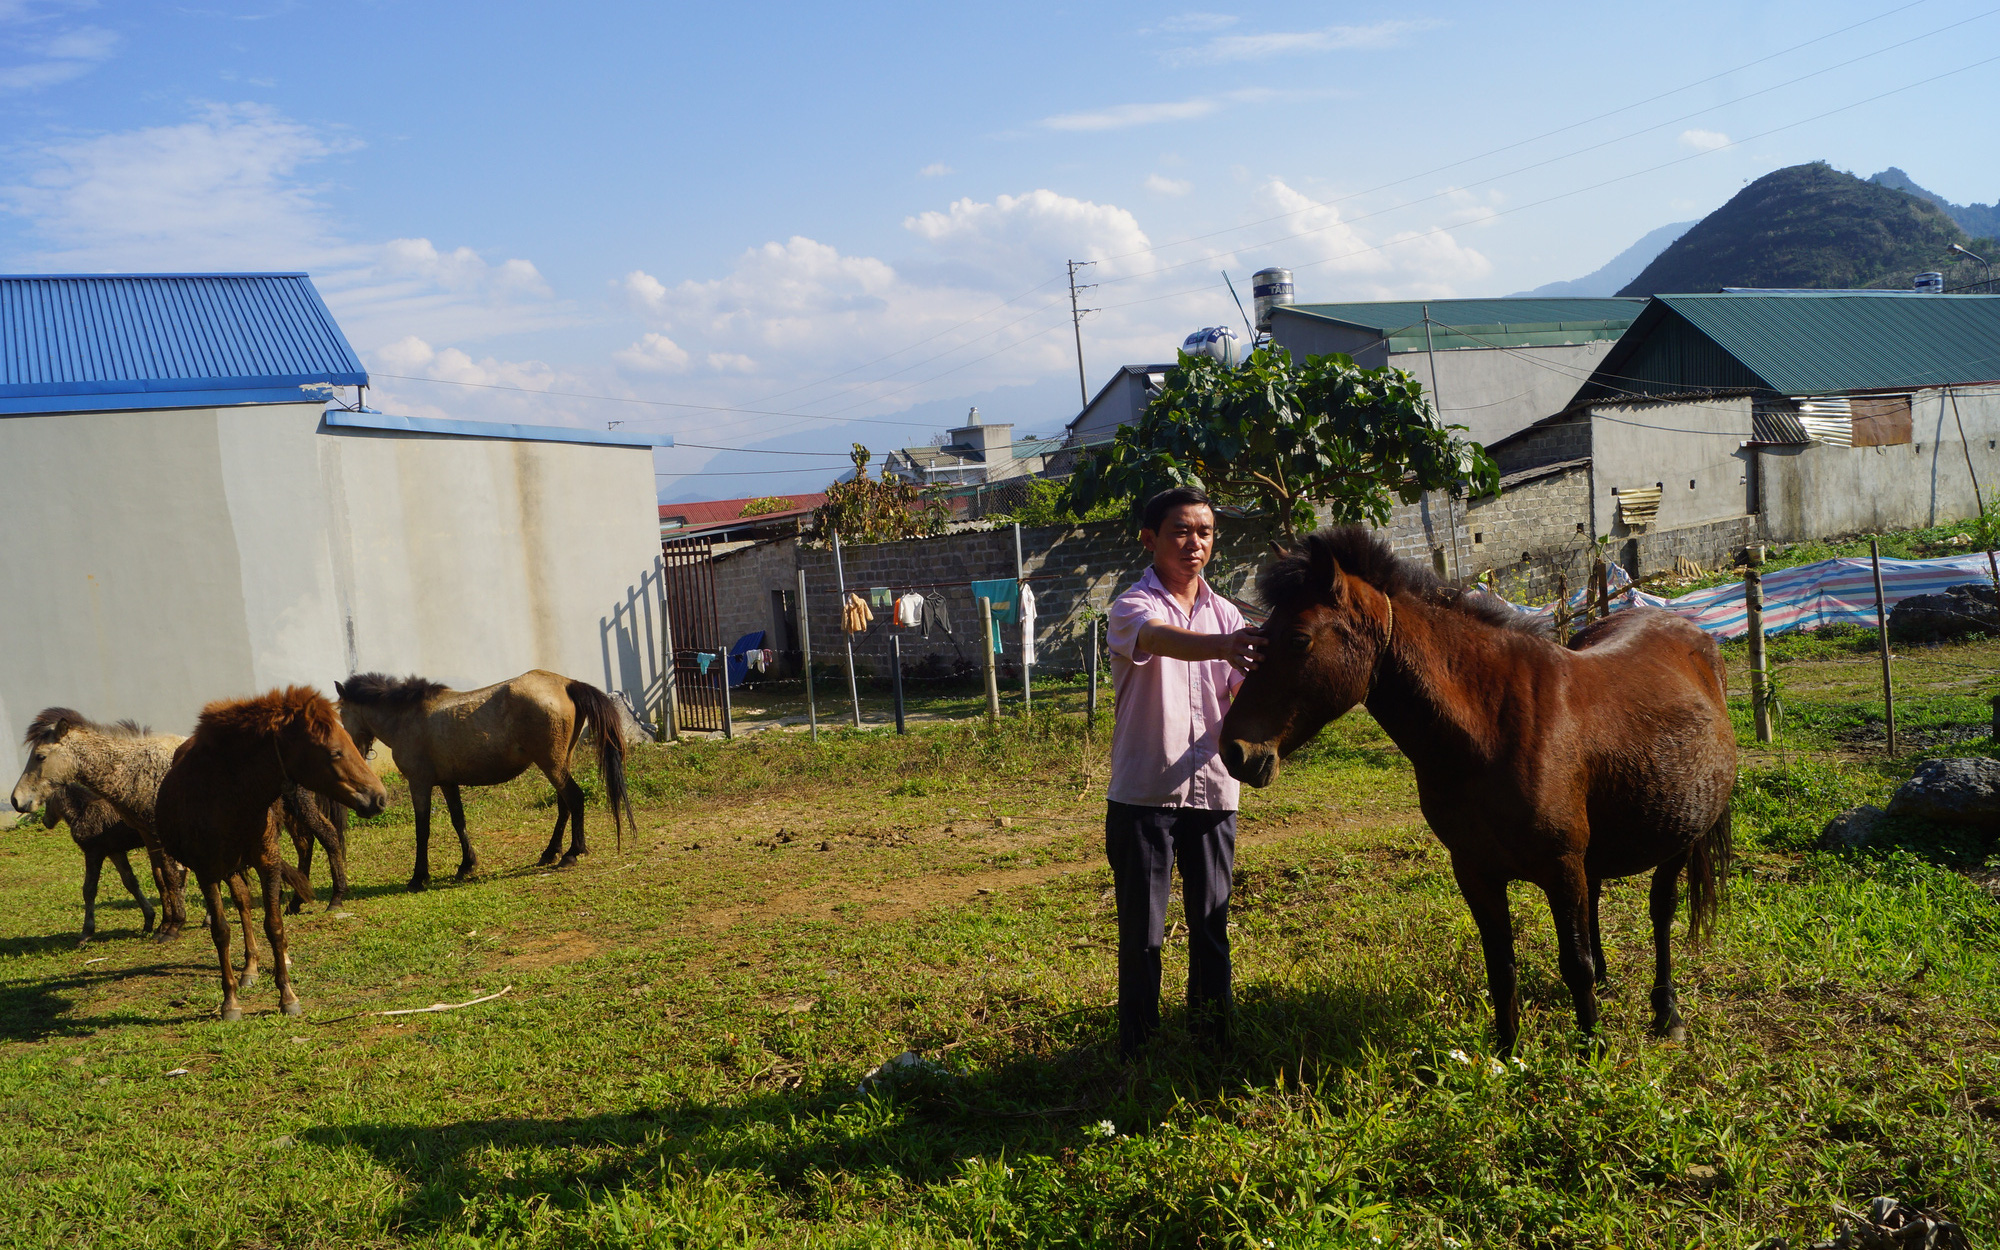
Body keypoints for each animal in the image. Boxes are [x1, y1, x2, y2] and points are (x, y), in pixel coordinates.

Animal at [39, 784, 156, 940]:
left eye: (46, 800)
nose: (45, 821)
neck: (81, 812)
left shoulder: (93, 852)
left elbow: (89, 889)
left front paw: (86, 933)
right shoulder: (115, 852)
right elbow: (130, 882)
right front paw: (148, 921)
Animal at [156, 688, 386, 1020]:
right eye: (334, 752)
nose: (379, 797)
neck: (229, 795)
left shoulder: (267, 861)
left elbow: (274, 925)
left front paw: (288, 995)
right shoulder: (207, 870)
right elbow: (222, 932)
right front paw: (230, 1002)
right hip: (231, 867)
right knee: (242, 902)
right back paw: (249, 968)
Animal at [332, 668, 636, 892]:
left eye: (341, 714)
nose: (354, 751)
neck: (407, 717)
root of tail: (566, 683)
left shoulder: (419, 783)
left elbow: (422, 830)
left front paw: (419, 877)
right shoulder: (447, 783)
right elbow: (458, 821)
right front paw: (467, 865)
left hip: (551, 764)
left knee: (575, 798)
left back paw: (573, 852)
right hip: (560, 762)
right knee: (565, 805)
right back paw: (551, 852)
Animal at [1216, 528, 1736, 1056]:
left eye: (1299, 639)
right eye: (1259, 638)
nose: (1234, 750)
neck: (1493, 727)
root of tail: (1697, 640)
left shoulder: (1560, 865)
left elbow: (1575, 963)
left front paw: (1592, 1051)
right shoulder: (1476, 870)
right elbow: (1501, 966)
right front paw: (1507, 1054)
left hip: (1680, 836)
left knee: (1661, 912)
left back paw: (1667, 1012)